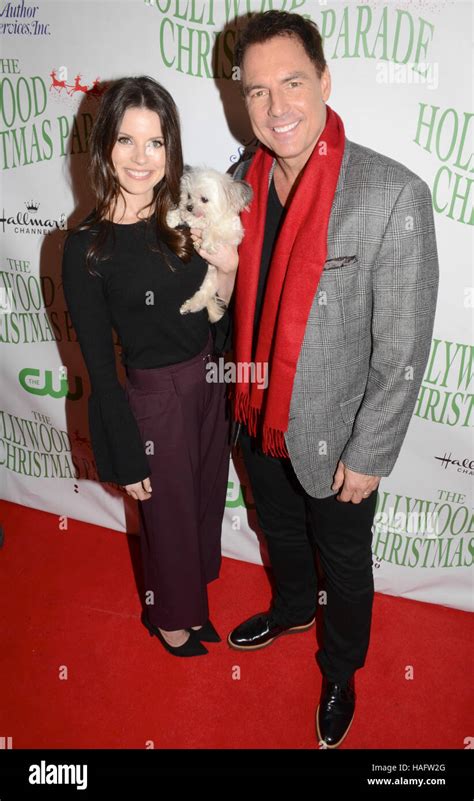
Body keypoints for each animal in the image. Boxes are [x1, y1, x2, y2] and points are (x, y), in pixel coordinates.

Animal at [168, 166, 254, 322]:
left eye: (204, 199)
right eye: (188, 195)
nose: (189, 206)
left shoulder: (233, 233)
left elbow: (214, 229)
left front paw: (208, 242)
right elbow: (183, 215)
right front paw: (173, 217)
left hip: (213, 278)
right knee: (202, 297)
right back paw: (188, 307)